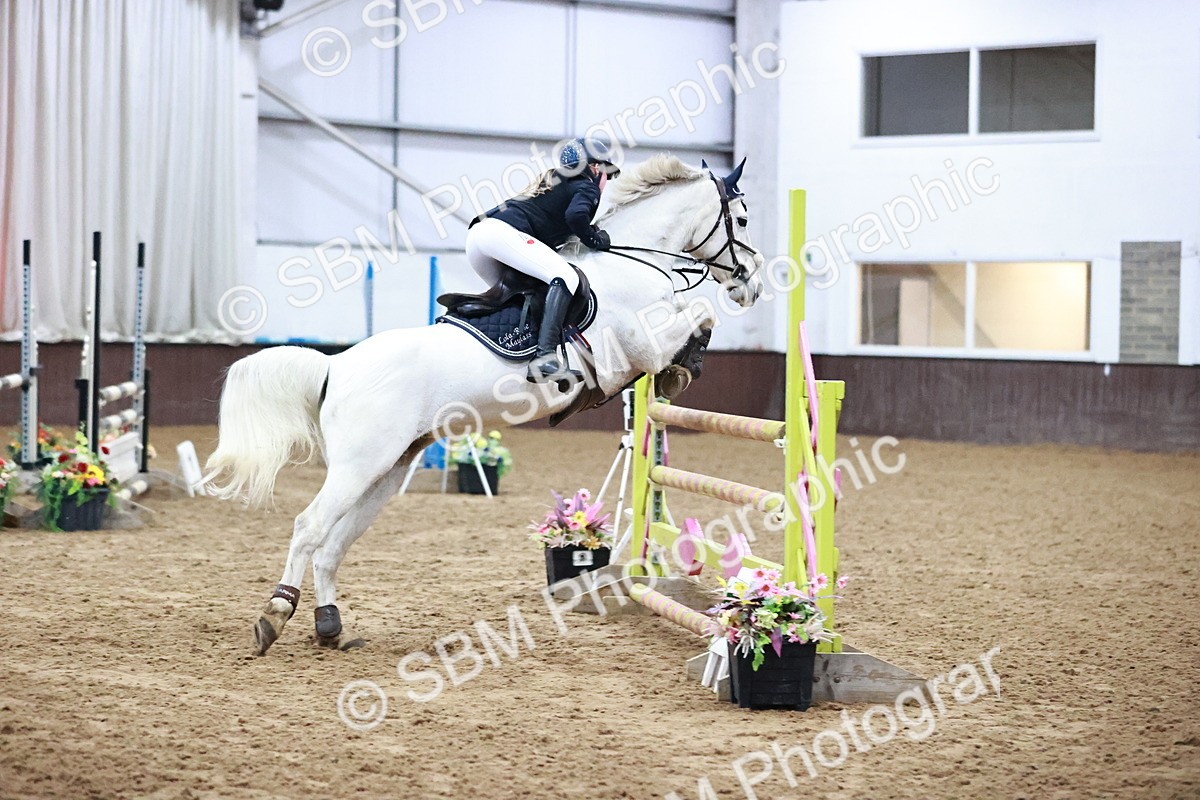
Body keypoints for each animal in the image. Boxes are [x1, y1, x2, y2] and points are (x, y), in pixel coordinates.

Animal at [205, 154, 766, 655]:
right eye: (741, 219)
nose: (754, 285)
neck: (633, 259)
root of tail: (336, 365)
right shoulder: (641, 344)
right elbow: (699, 314)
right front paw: (682, 368)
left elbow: (694, 317)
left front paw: (680, 370)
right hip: (358, 466)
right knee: (309, 529)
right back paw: (275, 615)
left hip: (385, 469)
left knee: (333, 545)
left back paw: (330, 626)